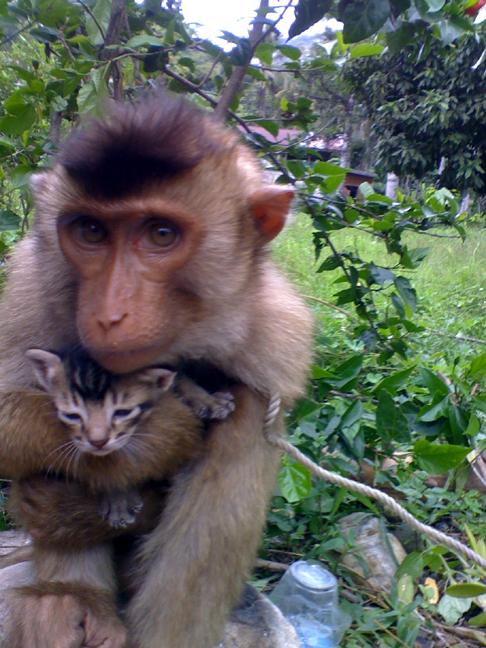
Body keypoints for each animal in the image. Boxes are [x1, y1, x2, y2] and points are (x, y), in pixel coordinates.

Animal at [25, 350, 234, 528]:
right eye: (72, 416)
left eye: (122, 413)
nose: (98, 441)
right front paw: (117, 498)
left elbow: (179, 377)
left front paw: (206, 399)